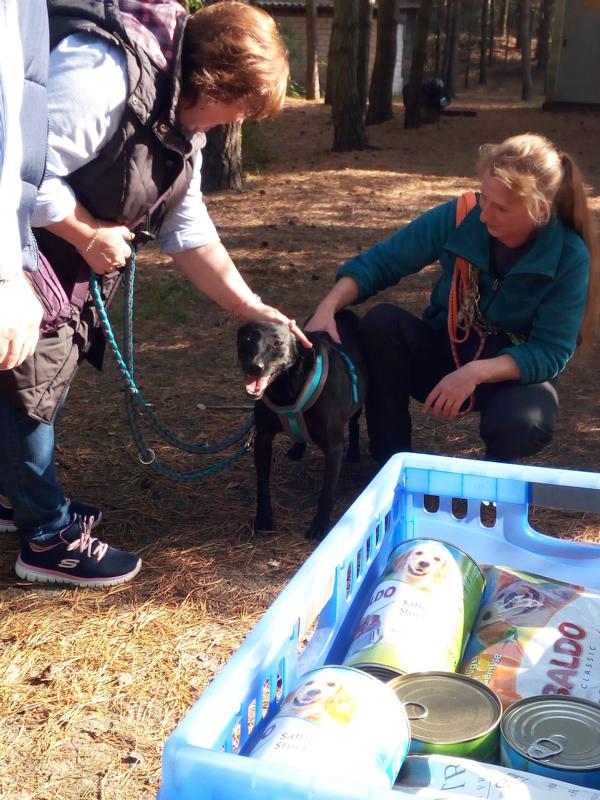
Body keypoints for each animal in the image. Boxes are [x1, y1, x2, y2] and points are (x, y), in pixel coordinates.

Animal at [237, 310, 367, 541]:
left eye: (277, 343)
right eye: (248, 339)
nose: (254, 366)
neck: (285, 389)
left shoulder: (334, 447)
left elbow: (327, 492)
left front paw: (320, 525)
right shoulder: (263, 438)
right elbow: (262, 484)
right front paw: (263, 518)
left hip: (358, 404)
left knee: (354, 424)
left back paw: (353, 452)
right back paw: (298, 449)